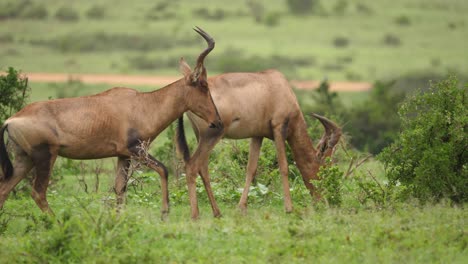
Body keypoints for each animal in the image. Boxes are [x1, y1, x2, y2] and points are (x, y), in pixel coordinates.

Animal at [0, 27, 223, 219]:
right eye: (203, 84)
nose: (217, 122)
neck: (141, 104)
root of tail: (11, 120)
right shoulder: (136, 150)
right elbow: (163, 169)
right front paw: (164, 213)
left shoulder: (122, 155)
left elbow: (119, 188)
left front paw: (118, 220)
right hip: (45, 156)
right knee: (38, 193)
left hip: (24, 158)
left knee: (4, 189)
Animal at [177, 68, 342, 219]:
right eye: (324, 167)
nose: (323, 202)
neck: (280, 86)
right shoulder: (278, 128)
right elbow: (284, 166)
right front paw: (289, 208)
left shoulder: (257, 135)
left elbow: (251, 169)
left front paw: (241, 208)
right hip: (210, 136)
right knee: (193, 166)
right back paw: (196, 215)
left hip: (200, 137)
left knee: (202, 168)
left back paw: (216, 212)